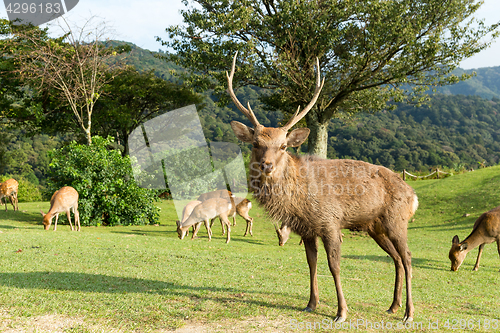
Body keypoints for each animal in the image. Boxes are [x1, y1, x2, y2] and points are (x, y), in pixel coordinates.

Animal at [227, 52, 418, 322]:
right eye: (255, 143)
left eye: (283, 146)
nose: (267, 166)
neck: (298, 202)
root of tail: (413, 195)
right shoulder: (306, 229)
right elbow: (311, 263)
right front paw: (311, 303)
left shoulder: (330, 221)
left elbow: (334, 265)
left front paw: (341, 311)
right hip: (376, 227)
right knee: (397, 259)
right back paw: (393, 306)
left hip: (396, 220)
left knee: (408, 257)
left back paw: (409, 312)